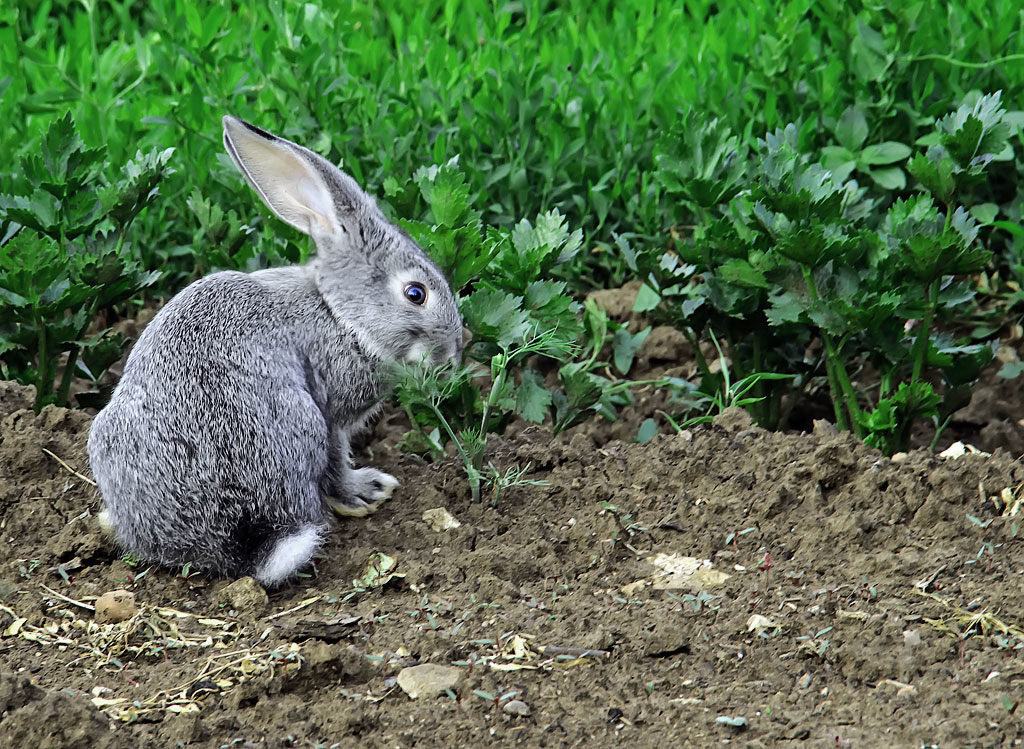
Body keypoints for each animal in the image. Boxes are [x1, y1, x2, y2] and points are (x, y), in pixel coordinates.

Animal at [88, 115, 464, 586]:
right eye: (416, 293)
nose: (453, 353)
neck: (339, 314)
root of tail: (238, 540)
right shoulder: (333, 413)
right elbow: (337, 461)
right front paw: (367, 491)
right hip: (304, 422)